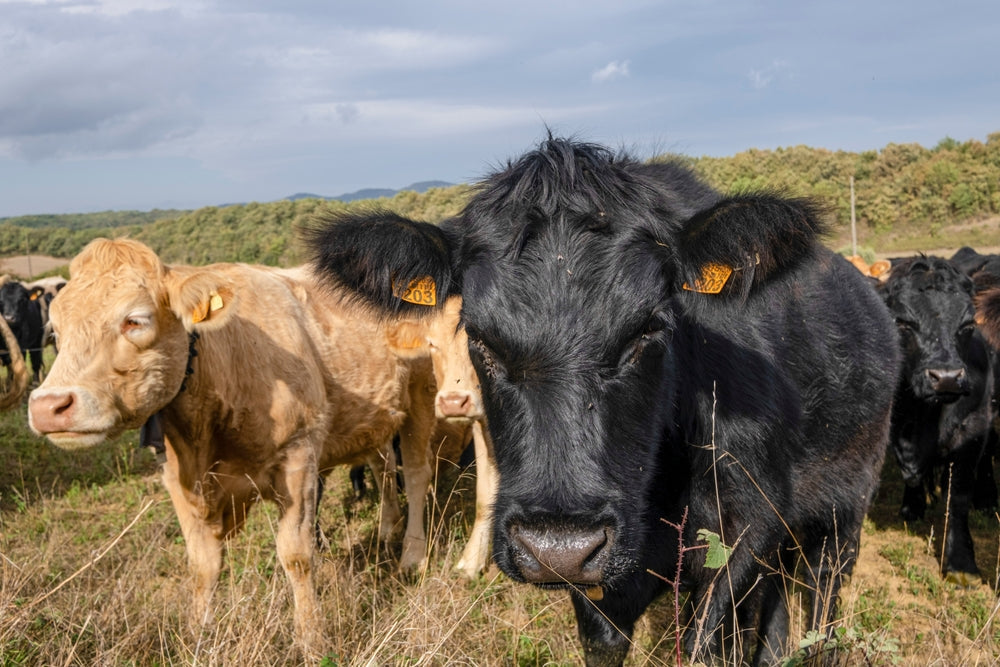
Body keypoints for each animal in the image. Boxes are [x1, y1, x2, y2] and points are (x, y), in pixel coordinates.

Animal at [26, 238, 442, 654]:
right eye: (56, 332)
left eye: (134, 320)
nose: (48, 406)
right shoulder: (177, 476)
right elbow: (202, 563)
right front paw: (196, 635)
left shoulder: (298, 457)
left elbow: (296, 555)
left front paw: (310, 638)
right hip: (377, 412)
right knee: (382, 463)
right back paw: (387, 528)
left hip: (422, 393)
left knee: (416, 474)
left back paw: (412, 555)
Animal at [304, 136, 900, 665]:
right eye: (479, 337)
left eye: (649, 329)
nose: (558, 548)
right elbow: (607, 639)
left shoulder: (745, 530)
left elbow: (707, 641)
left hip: (844, 506)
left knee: (822, 594)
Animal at [879, 256, 995, 586]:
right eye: (903, 322)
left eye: (967, 324)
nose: (946, 378)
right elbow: (910, 472)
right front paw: (913, 505)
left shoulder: (972, 427)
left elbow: (957, 496)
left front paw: (961, 563)